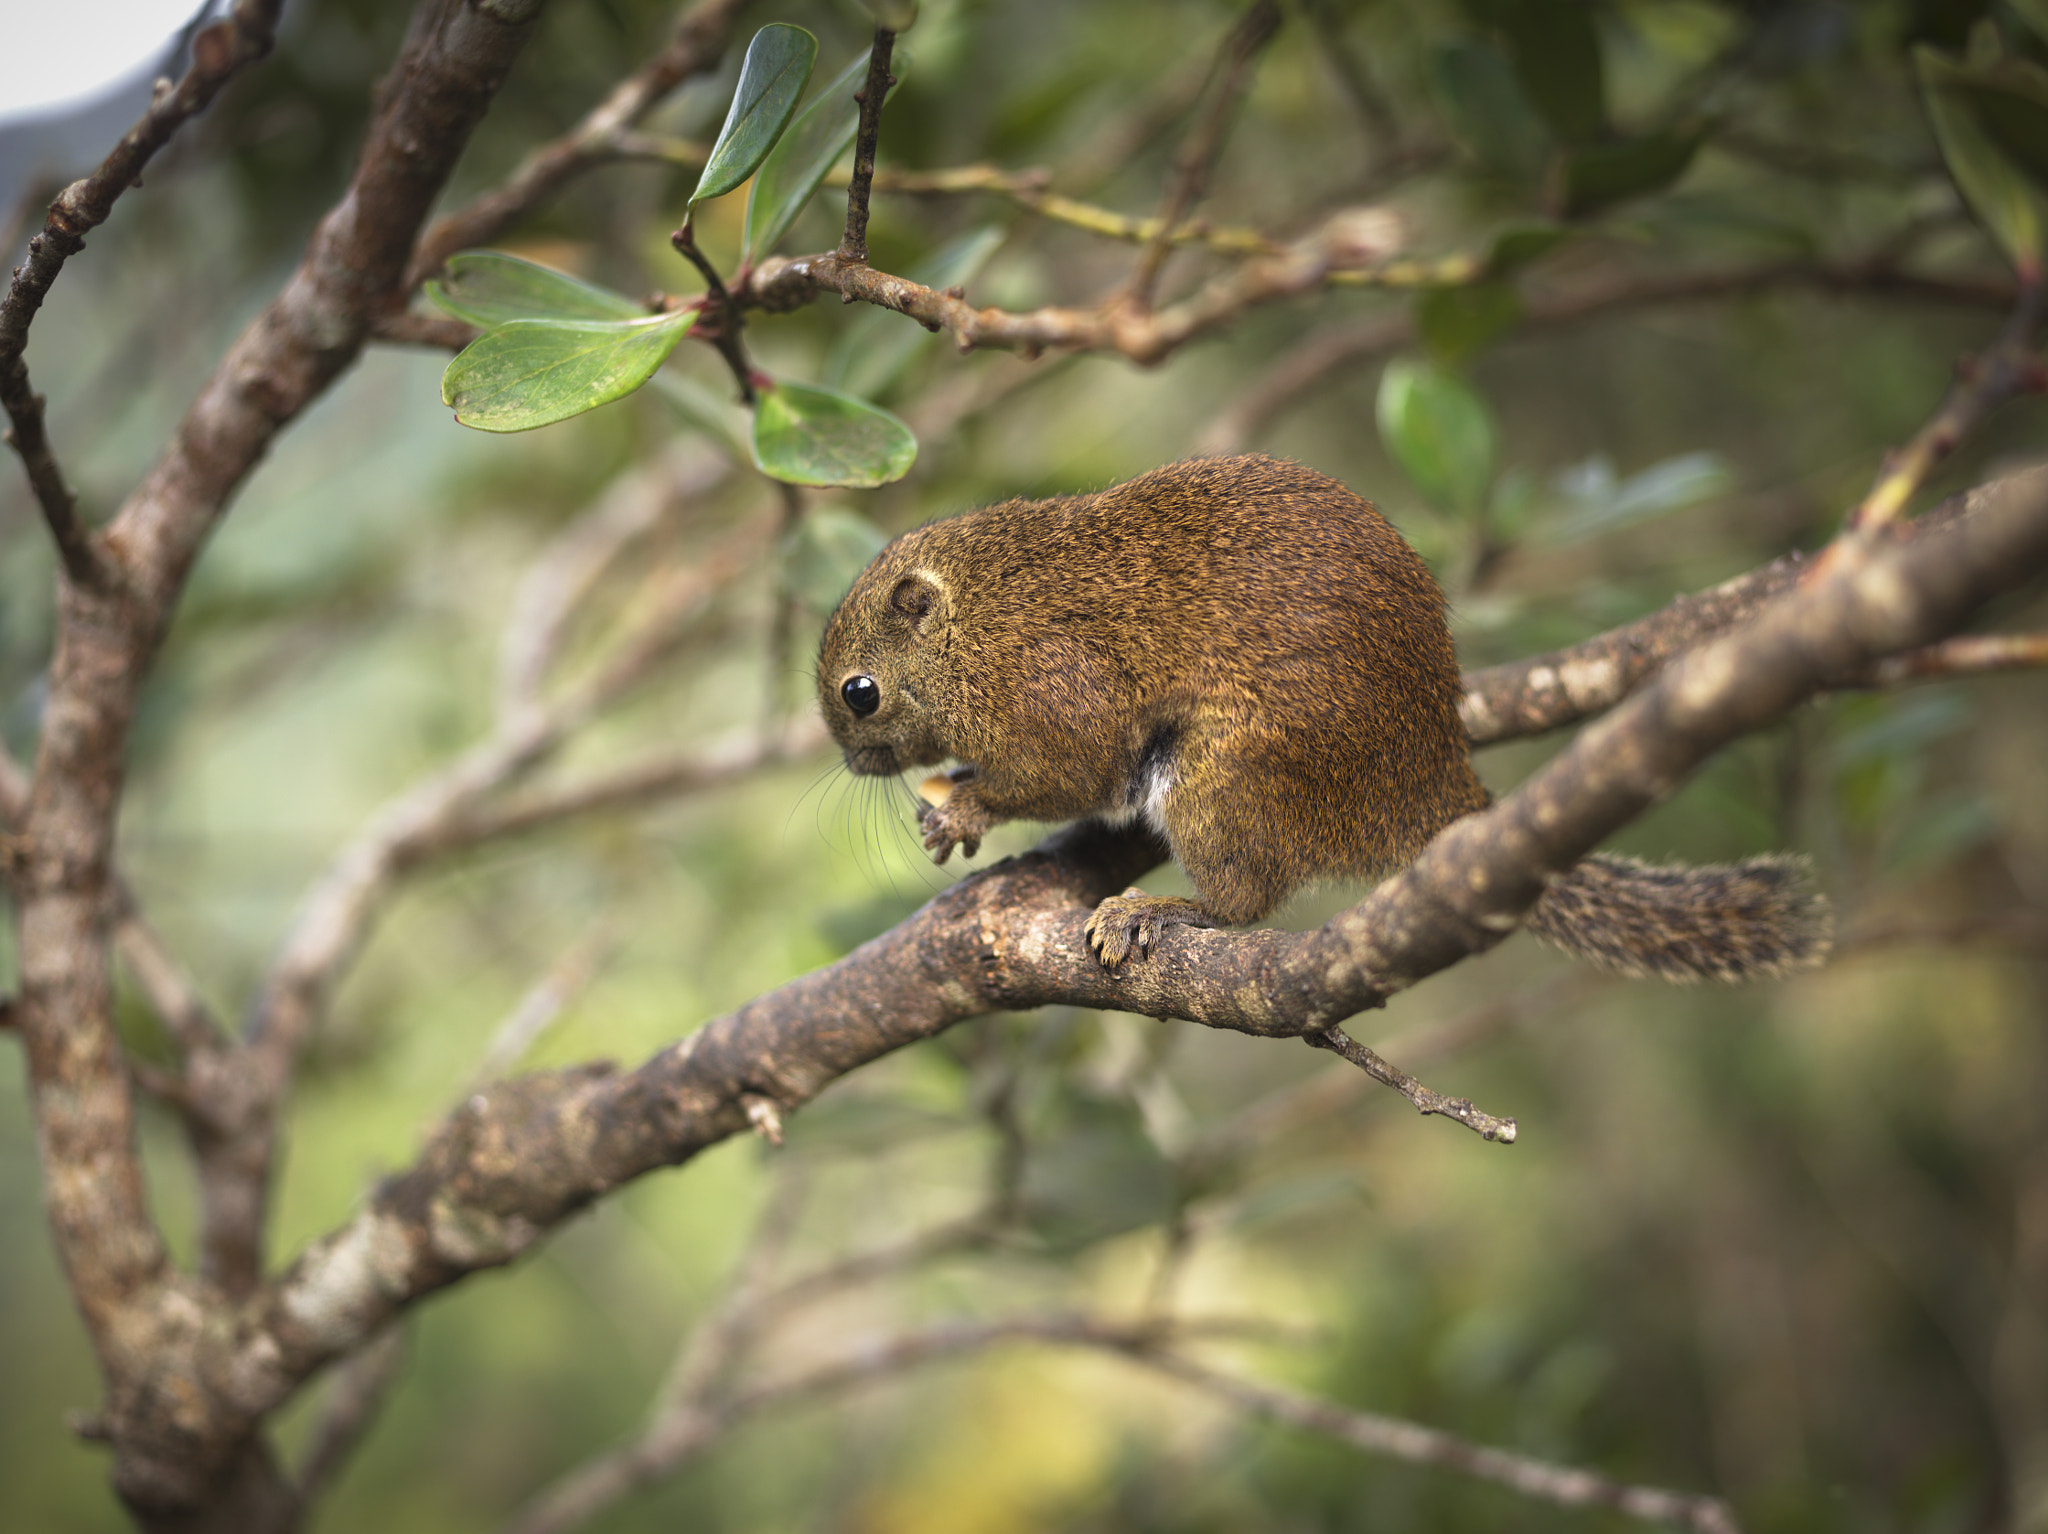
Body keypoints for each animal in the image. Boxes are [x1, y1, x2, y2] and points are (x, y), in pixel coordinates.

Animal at [819, 454, 1843, 983]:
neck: (979, 620)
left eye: (859, 692)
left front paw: (963, 807)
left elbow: (1068, 772)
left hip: (1227, 773)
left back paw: (1161, 907)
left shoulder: (1049, 689)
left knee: (1245, 902)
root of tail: (1432, 786)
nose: (857, 765)